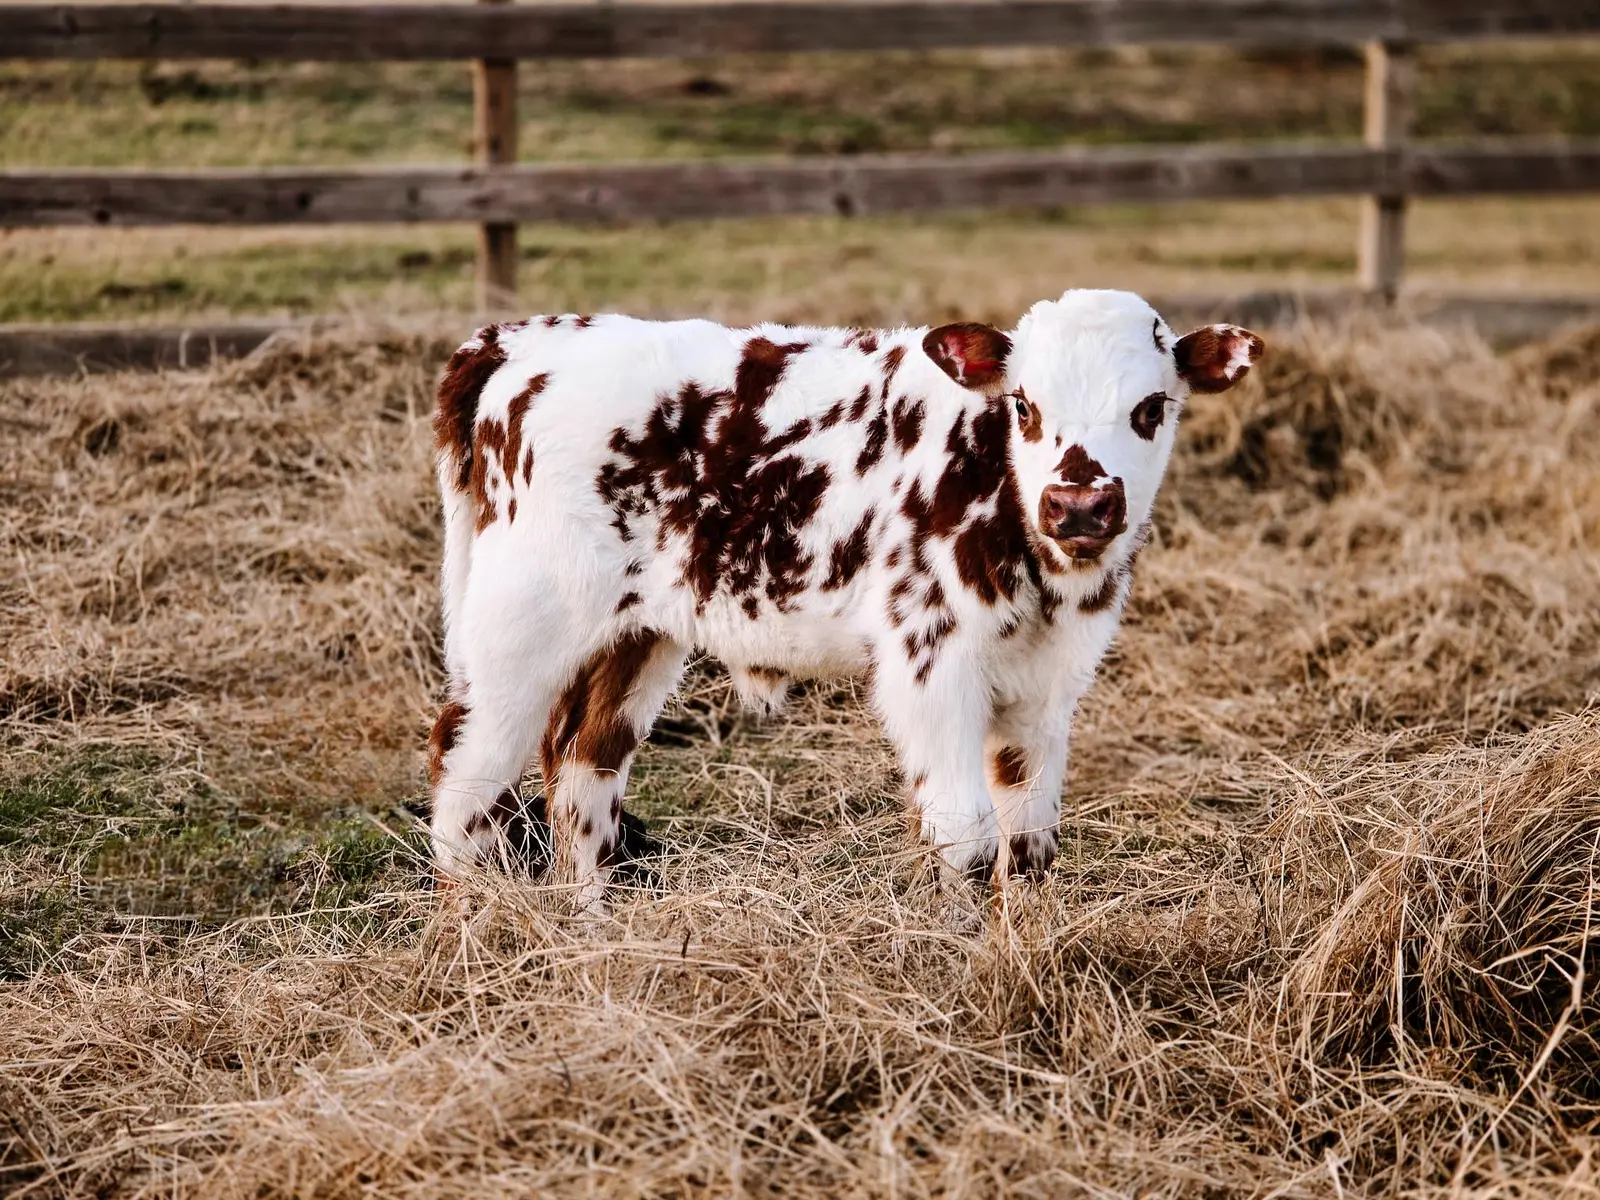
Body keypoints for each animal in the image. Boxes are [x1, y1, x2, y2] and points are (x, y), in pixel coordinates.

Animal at [426, 290, 1263, 910]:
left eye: (1152, 408)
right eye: (1024, 405)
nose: (1079, 505)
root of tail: (519, 339)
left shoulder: (1047, 687)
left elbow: (1029, 844)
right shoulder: (930, 661)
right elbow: (965, 835)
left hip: (635, 635)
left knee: (583, 767)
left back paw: (596, 932)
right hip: (519, 627)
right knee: (466, 775)